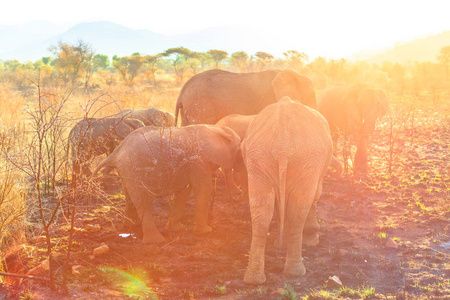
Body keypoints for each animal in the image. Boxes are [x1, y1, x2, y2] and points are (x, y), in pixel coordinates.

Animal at [92, 124, 241, 244]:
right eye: (238, 150)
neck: (215, 128)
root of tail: (116, 152)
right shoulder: (198, 160)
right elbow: (203, 189)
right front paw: (206, 232)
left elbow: (184, 190)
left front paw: (177, 229)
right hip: (134, 169)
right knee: (142, 202)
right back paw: (156, 241)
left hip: (127, 172)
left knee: (130, 198)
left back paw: (131, 226)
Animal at [243, 96, 334, 284]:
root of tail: (283, 145)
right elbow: (315, 194)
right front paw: (312, 240)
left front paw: (280, 244)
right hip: (306, 159)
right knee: (298, 213)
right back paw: (296, 273)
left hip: (258, 158)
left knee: (261, 213)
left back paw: (254, 280)